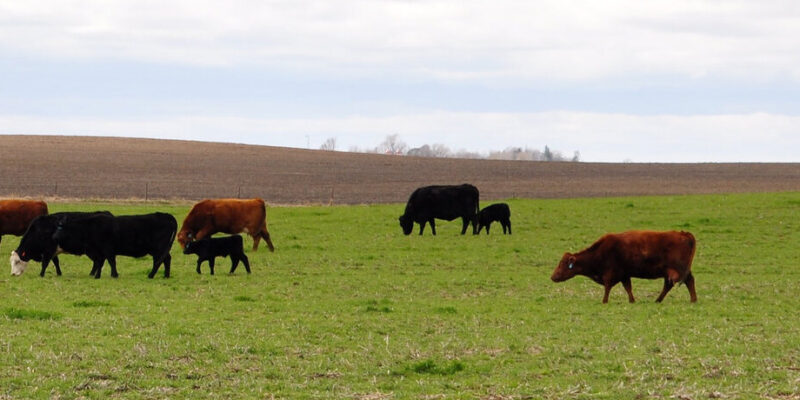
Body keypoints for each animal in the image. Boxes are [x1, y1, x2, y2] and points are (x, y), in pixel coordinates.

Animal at [552, 231, 696, 304]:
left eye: (562, 264)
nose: (552, 277)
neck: (600, 252)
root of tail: (683, 233)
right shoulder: (624, 274)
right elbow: (628, 288)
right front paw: (632, 300)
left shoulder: (610, 274)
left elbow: (608, 287)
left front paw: (604, 301)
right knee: (673, 284)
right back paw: (659, 300)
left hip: (678, 270)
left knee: (687, 281)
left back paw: (692, 300)